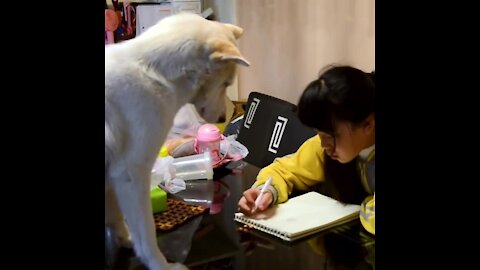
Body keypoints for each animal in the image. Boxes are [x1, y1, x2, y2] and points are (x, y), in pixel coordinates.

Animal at [104, 13, 248, 270]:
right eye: (226, 83)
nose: (223, 118)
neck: (157, 74)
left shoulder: (113, 175)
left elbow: (116, 216)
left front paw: (124, 239)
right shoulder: (132, 176)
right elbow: (146, 234)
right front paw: (159, 264)